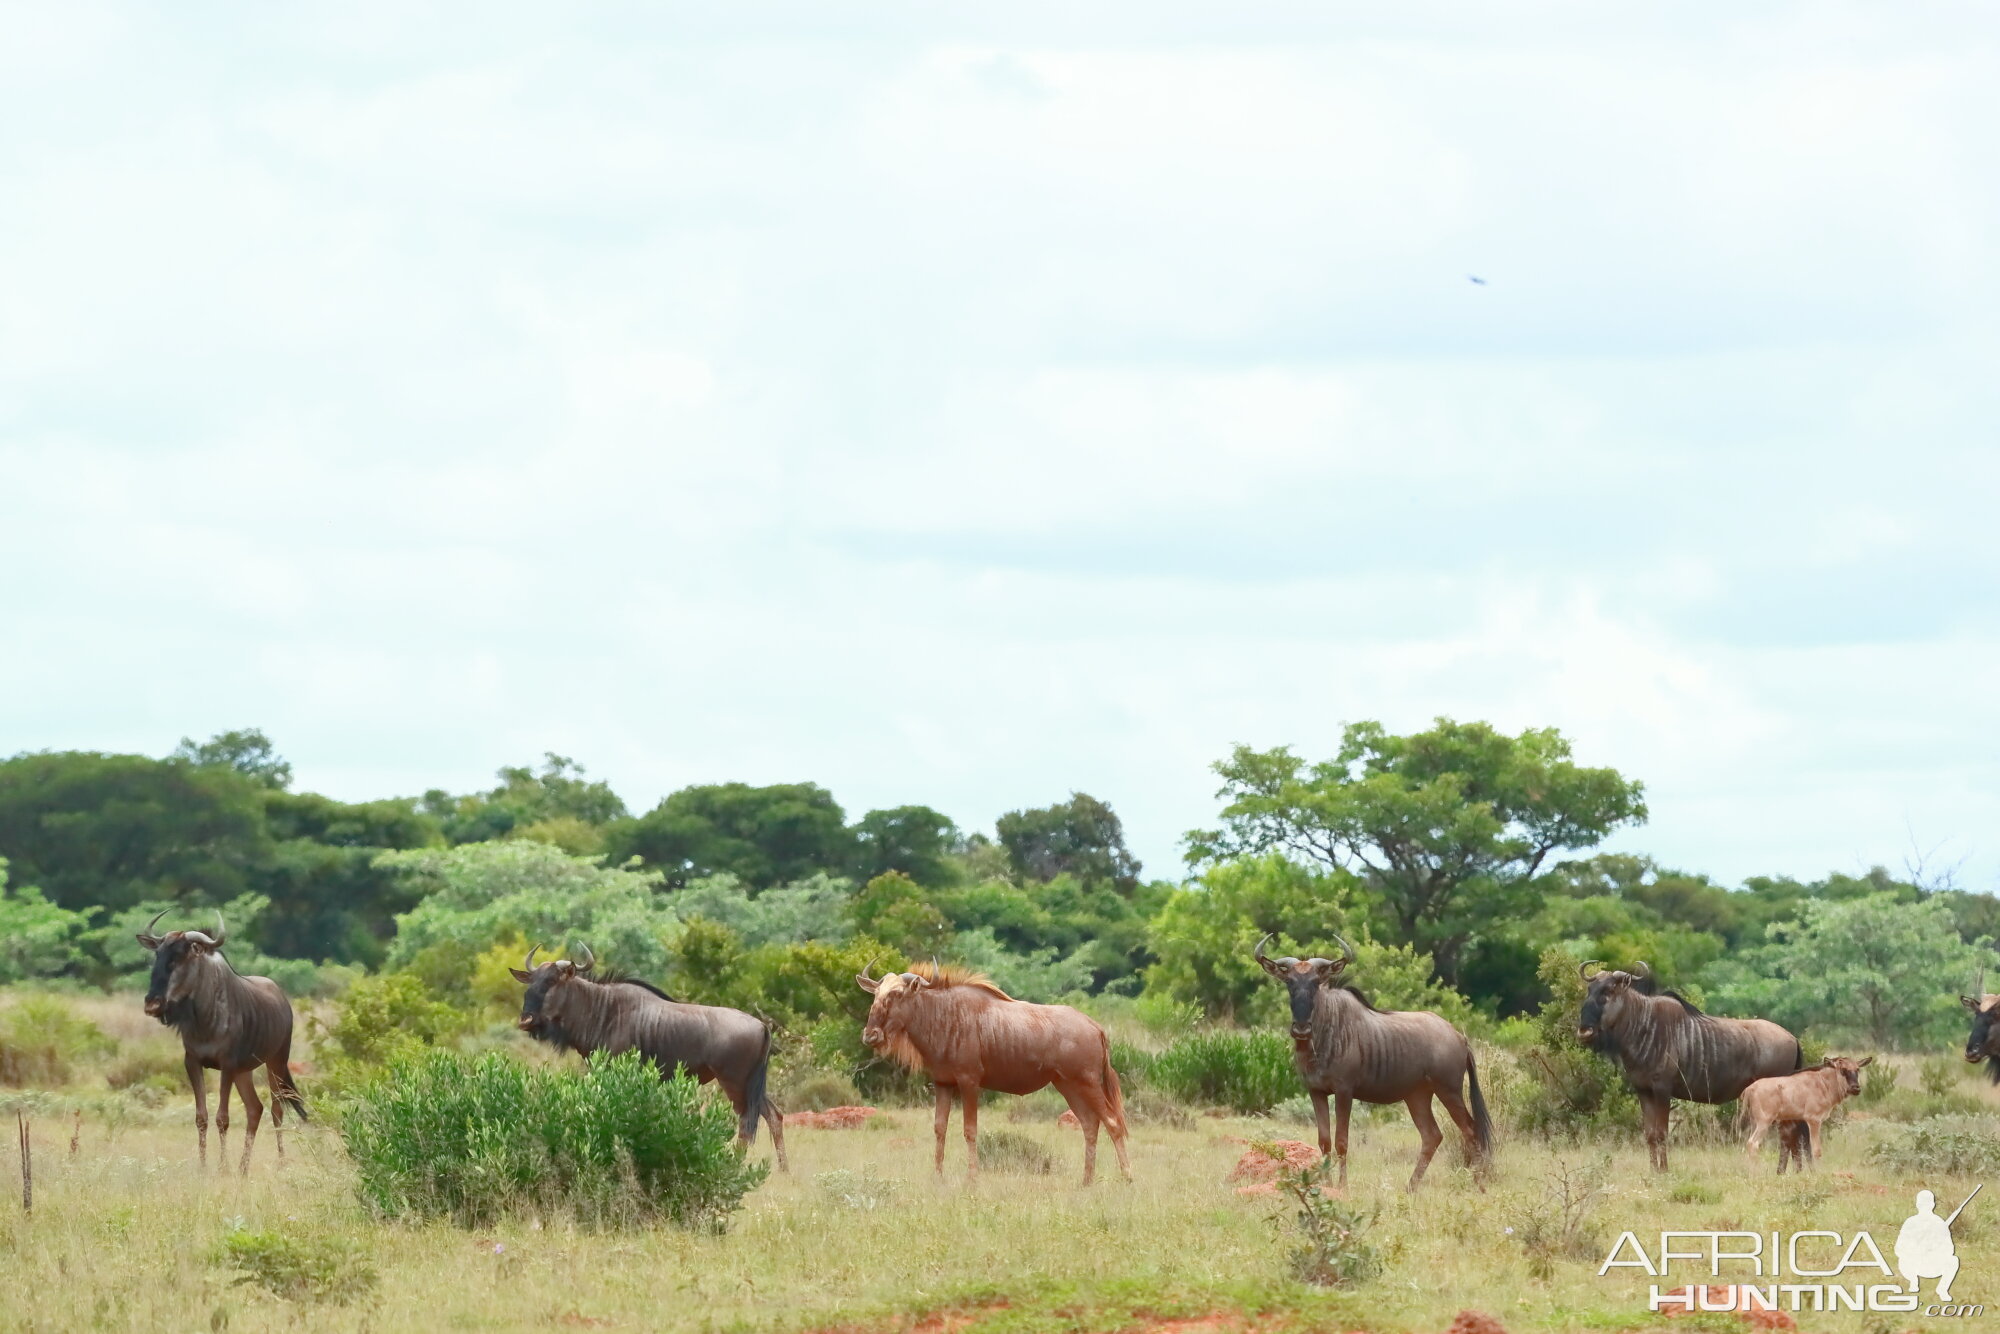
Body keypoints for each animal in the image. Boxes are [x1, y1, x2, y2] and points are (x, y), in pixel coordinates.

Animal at [1736, 1056, 1872, 1176]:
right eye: (1843, 1070)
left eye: (1857, 1069)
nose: (1856, 1088)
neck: (1823, 1083)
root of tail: (1749, 1089)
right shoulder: (1814, 1120)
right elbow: (1816, 1150)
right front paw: (1818, 1174)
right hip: (1764, 1123)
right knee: (1753, 1143)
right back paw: (1755, 1173)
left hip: (1755, 1123)